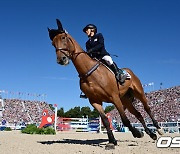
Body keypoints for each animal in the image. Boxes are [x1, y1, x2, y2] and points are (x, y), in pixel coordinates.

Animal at [47, 19, 163, 148]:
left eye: (63, 37)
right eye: (52, 44)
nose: (61, 60)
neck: (90, 73)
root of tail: (130, 72)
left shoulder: (114, 97)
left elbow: (125, 120)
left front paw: (137, 133)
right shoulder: (95, 101)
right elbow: (106, 121)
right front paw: (112, 141)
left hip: (139, 93)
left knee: (147, 109)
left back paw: (158, 129)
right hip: (126, 100)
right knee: (138, 114)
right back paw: (151, 134)